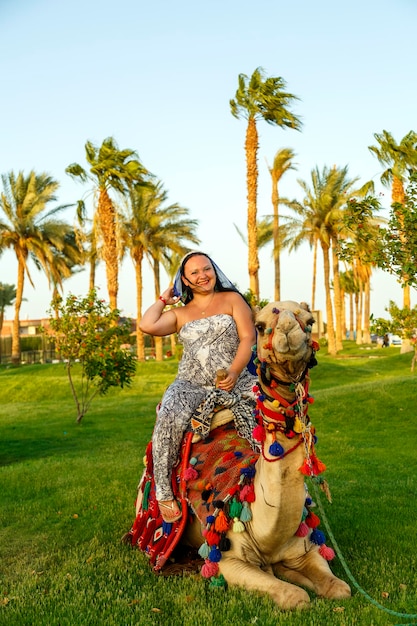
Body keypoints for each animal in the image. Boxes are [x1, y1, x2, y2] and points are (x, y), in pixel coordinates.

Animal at [126, 300, 352, 608]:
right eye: (260, 325)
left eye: (310, 321)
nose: (288, 331)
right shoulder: (228, 560)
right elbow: (294, 596)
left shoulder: (304, 547)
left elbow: (340, 588)